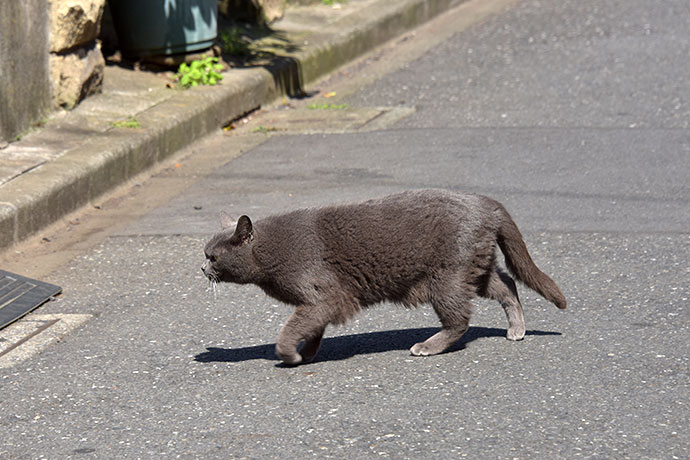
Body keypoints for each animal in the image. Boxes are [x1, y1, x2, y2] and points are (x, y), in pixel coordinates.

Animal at [203, 189, 564, 364]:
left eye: (213, 256)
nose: (202, 269)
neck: (270, 253)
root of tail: (488, 204)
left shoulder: (322, 295)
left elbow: (292, 328)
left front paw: (288, 354)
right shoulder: (320, 301)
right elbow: (313, 328)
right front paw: (306, 354)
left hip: (447, 275)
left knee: (460, 320)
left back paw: (427, 346)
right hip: (472, 267)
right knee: (507, 284)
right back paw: (516, 328)